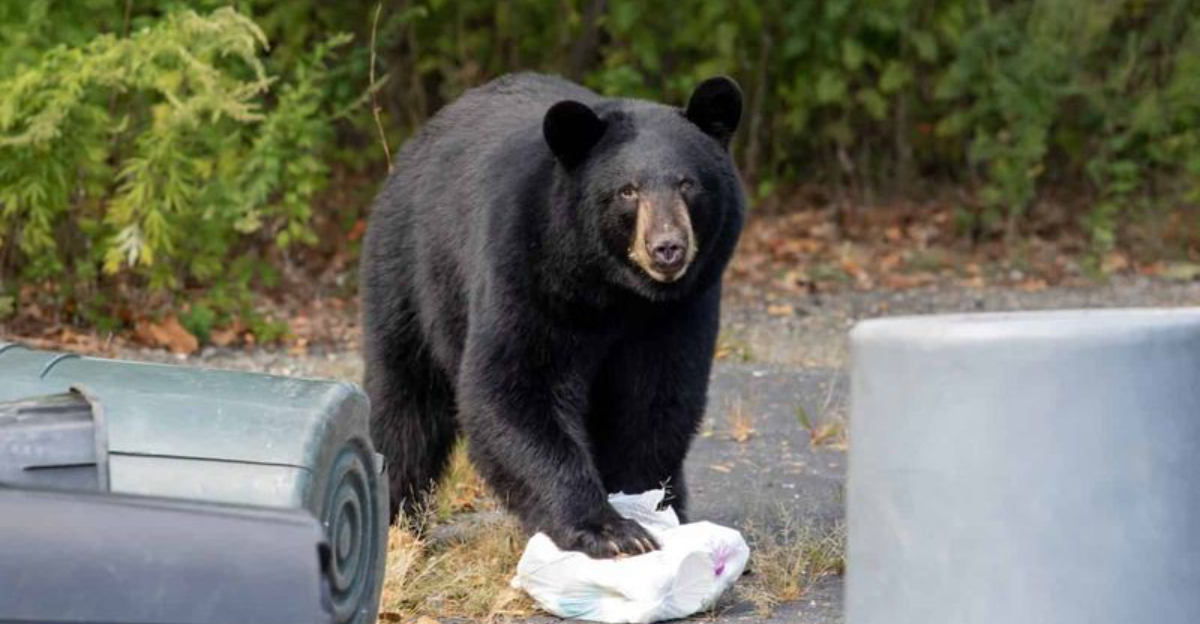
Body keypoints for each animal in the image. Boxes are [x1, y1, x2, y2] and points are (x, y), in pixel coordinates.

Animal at [360, 72, 744, 558]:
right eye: (628, 190)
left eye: (688, 184)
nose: (667, 248)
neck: (615, 290)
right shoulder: (529, 271)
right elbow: (515, 387)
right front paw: (611, 530)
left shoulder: (680, 309)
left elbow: (656, 400)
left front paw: (643, 505)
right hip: (412, 273)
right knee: (405, 402)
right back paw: (397, 522)